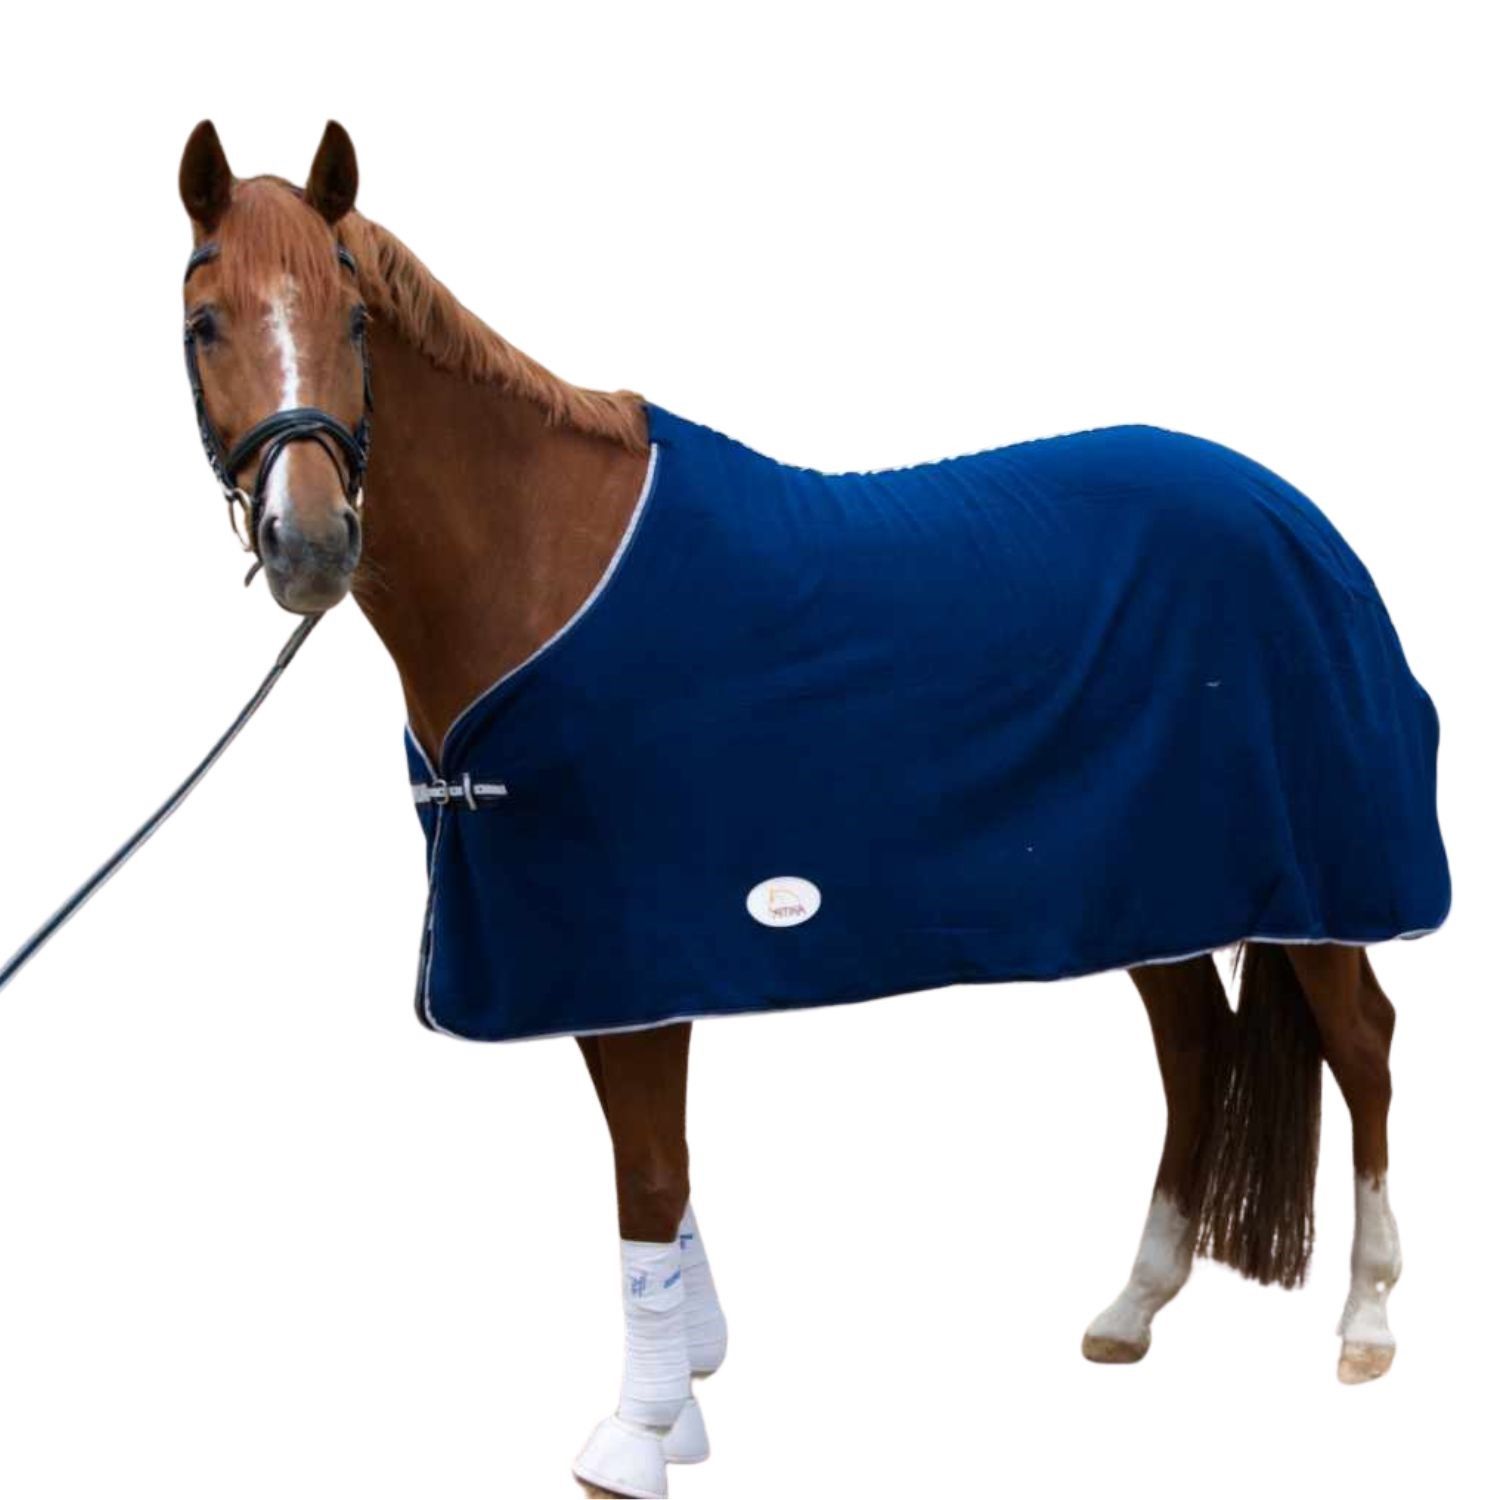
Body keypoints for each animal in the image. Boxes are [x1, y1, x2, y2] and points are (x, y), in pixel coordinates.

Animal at [175, 120, 1446, 1499]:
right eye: (204, 321)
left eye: (356, 318)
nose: (310, 543)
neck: (543, 566)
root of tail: (1295, 513)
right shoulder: (587, 955)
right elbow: (655, 1164)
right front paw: (690, 1381)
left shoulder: (635, 940)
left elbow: (646, 1171)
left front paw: (637, 1433)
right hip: (1148, 885)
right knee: (1198, 1048)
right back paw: (1134, 1305)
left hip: (1320, 876)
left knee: (1363, 1046)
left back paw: (1368, 1322)